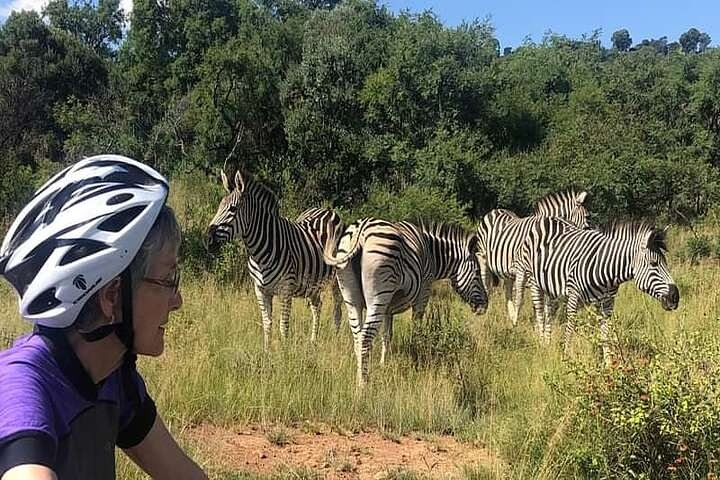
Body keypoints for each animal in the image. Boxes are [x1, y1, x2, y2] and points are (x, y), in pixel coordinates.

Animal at [207, 171, 344, 350]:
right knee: (317, 306)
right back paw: (313, 341)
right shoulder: (260, 289)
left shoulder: (285, 289)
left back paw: (335, 338)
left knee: (337, 308)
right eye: (218, 207)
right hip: (312, 283)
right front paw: (267, 351)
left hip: (336, 278)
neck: (259, 253)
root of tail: (328, 210)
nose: (207, 240)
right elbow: (267, 323)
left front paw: (284, 352)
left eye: (232, 209)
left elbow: (283, 325)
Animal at [322, 218, 486, 386]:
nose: (485, 306)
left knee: (357, 337)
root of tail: (361, 229)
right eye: (477, 273)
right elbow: (417, 330)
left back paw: (358, 377)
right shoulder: (423, 292)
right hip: (379, 292)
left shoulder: (388, 307)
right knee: (365, 337)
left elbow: (387, 335)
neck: (432, 255)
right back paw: (363, 383)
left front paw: (383, 363)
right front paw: (417, 356)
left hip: (352, 297)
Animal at [476, 188, 588, 326]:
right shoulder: (521, 268)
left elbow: (541, 303)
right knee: (487, 286)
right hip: (483, 257)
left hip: (506, 269)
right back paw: (486, 314)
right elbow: (520, 298)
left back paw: (510, 314)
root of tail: (494, 210)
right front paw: (516, 323)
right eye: (587, 217)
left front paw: (538, 323)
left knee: (507, 290)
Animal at [516, 218, 676, 360]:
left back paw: (547, 343)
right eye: (654, 263)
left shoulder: (607, 301)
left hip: (548, 285)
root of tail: (545, 219)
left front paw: (609, 364)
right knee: (539, 313)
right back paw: (541, 344)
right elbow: (570, 326)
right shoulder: (574, 295)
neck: (607, 269)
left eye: (665, 262)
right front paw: (566, 357)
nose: (675, 297)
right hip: (533, 281)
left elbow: (605, 331)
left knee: (548, 312)